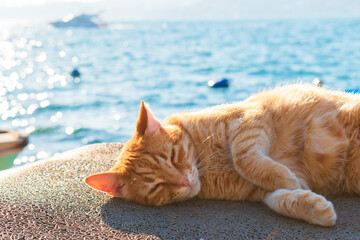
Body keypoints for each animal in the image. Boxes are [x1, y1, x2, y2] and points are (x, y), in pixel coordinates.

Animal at [85, 83, 360, 226]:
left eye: (173, 155)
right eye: (155, 187)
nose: (185, 181)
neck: (208, 163)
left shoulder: (250, 118)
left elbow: (244, 159)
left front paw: (283, 177)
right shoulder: (258, 193)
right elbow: (279, 198)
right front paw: (313, 207)